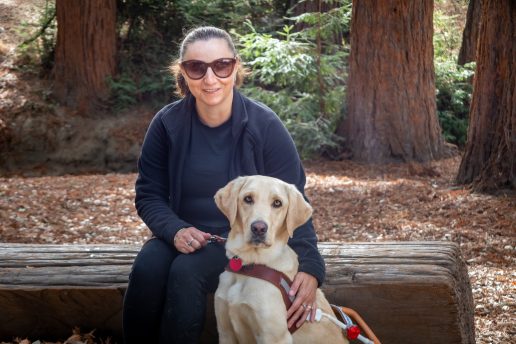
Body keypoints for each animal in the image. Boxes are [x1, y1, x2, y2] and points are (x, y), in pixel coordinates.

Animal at [214, 176, 346, 344]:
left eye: (277, 203)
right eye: (248, 198)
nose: (258, 228)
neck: (250, 266)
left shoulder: (274, 337)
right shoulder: (225, 332)